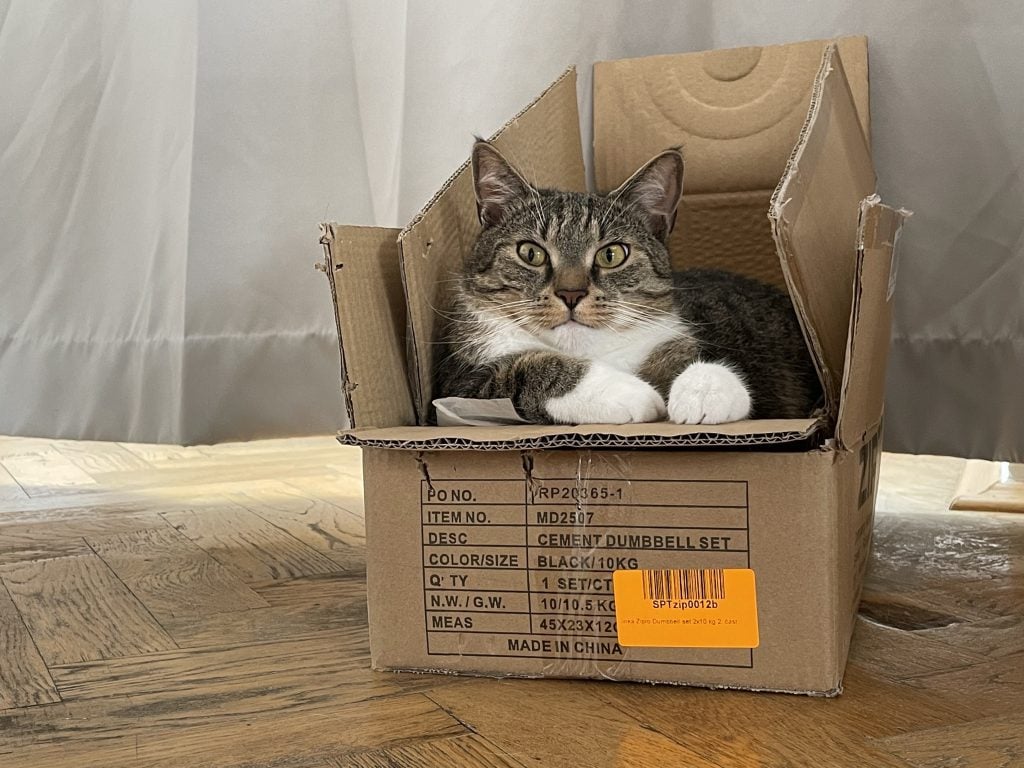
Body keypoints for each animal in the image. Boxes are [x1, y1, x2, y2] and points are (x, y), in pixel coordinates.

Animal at [432, 140, 823, 428]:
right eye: (531, 252)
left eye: (611, 254)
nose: (571, 293)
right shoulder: (456, 386)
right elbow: (525, 368)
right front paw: (629, 393)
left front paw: (704, 388)